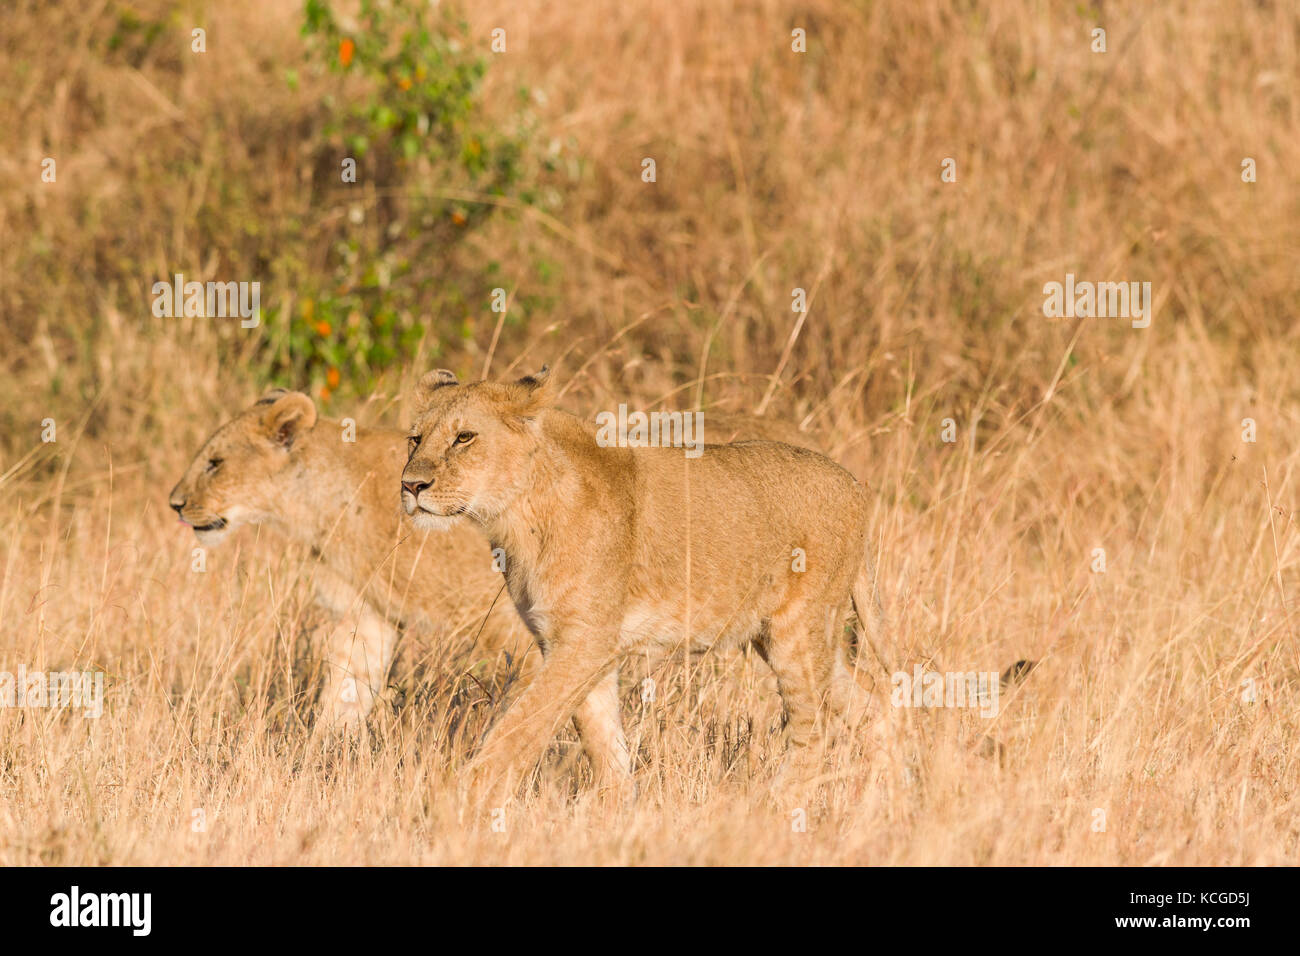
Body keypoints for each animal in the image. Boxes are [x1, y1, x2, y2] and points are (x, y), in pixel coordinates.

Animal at [169, 388, 822, 733]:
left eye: (215, 462)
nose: (175, 504)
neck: (320, 500)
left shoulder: (500, 625)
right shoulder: (367, 615)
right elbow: (343, 698)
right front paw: (320, 762)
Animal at [401, 369, 889, 799]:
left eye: (464, 437)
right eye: (415, 439)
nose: (410, 485)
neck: (518, 515)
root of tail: (854, 484)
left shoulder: (585, 641)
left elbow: (519, 728)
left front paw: (457, 805)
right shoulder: (573, 643)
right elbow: (602, 743)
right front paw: (616, 811)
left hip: (798, 631)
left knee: (816, 728)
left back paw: (773, 806)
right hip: (788, 635)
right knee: (873, 699)